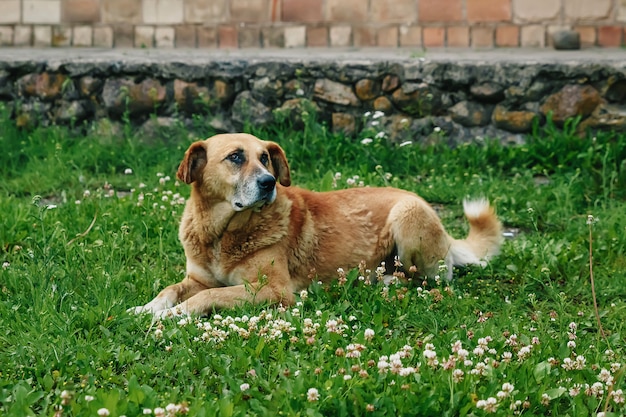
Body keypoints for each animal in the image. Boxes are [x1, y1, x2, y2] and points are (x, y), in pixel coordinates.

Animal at [128, 132, 502, 316]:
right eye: (236, 157)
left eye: (265, 158)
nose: (269, 183)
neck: (224, 233)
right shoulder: (196, 278)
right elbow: (170, 290)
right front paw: (147, 307)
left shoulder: (274, 290)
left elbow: (209, 296)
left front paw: (171, 315)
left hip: (408, 214)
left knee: (426, 280)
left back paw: (385, 281)